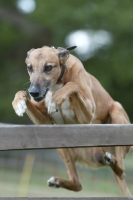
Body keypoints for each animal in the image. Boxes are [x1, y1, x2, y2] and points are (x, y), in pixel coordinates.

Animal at [12, 45, 132, 197]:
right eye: (30, 67)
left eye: (48, 67)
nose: (33, 92)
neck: (57, 82)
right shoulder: (43, 120)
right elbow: (21, 93)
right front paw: (18, 103)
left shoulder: (88, 115)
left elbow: (72, 84)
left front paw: (56, 98)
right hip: (62, 147)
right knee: (78, 184)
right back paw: (57, 181)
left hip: (117, 111)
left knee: (121, 170)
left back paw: (110, 160)